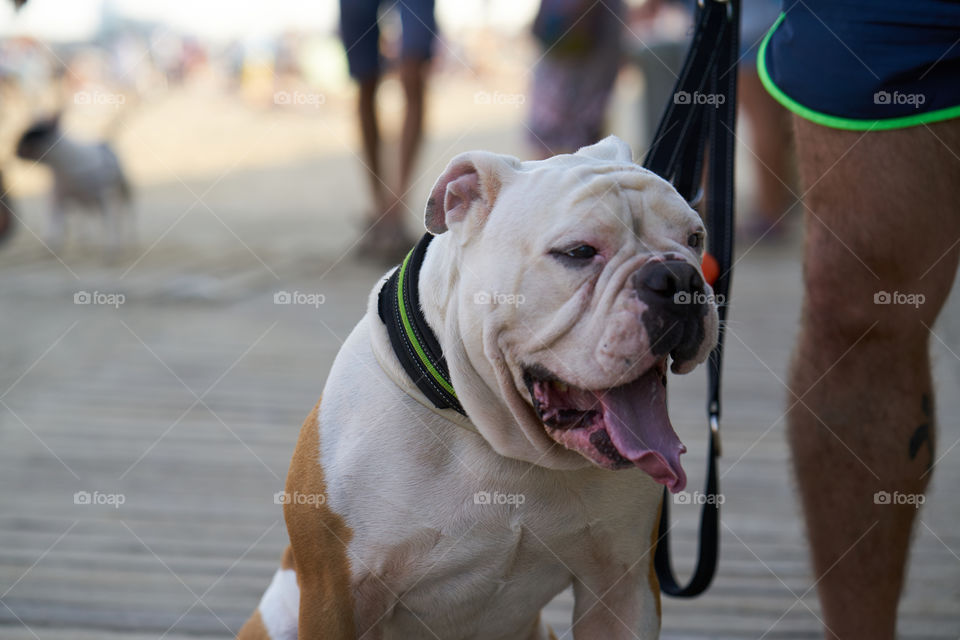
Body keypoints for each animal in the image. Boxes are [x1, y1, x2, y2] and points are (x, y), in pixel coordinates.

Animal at [16, 112, 133, 255]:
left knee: (123, 212)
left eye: (35, 134)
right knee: (82, 218)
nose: (15, 151)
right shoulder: (58, 197)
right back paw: (82, 238)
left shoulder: (102, 196)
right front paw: (53, 245)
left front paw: (111, 247)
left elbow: (109, 222)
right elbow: (56, 222)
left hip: (121, 190)